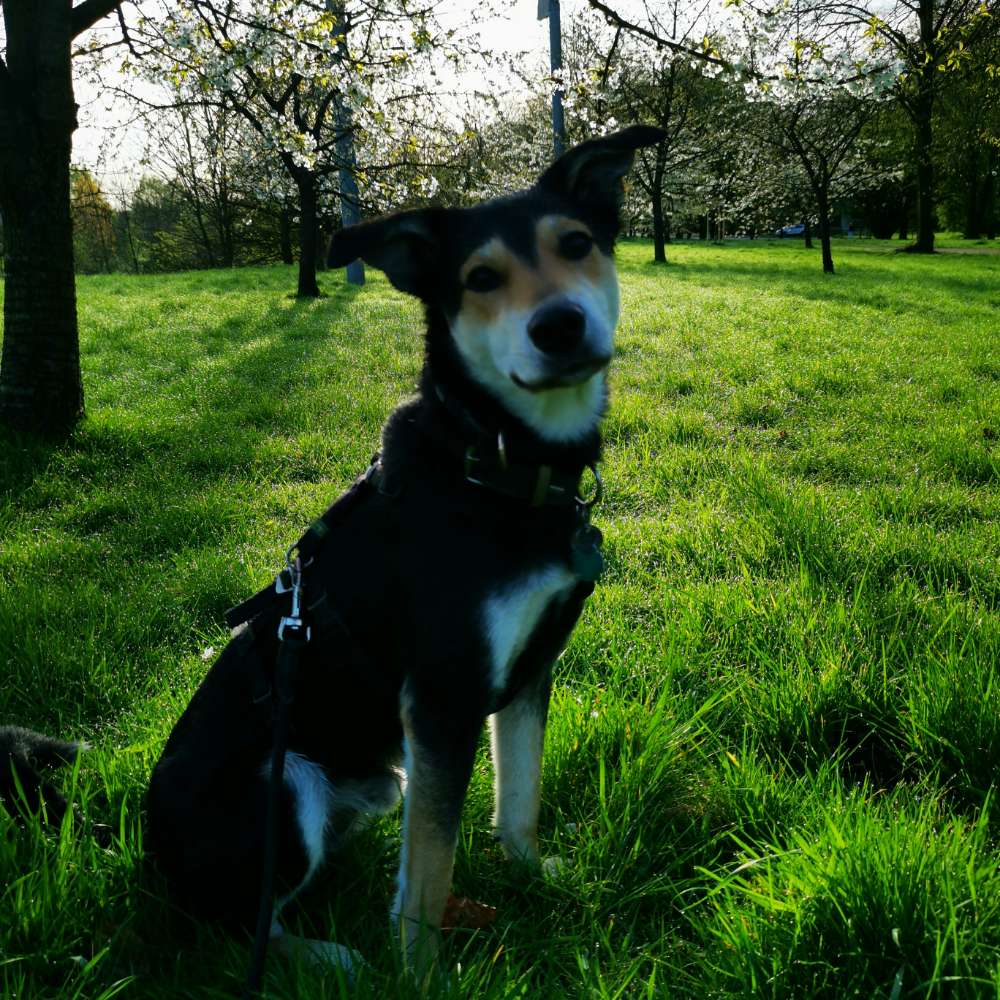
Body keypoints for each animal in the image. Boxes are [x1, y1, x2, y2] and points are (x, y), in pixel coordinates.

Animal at [143, 127, 664, 976]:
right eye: (479, 279)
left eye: (577, 244)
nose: (559, 326)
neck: (498, 461)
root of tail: (145, 853)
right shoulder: (443, 698)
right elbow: (429, 867)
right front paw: (420, 971)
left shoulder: (530, 671)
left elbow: (519, 798)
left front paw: (535, 874)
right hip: (284, 789)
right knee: (240, 926)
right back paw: (335, 960)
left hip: (383, 779)